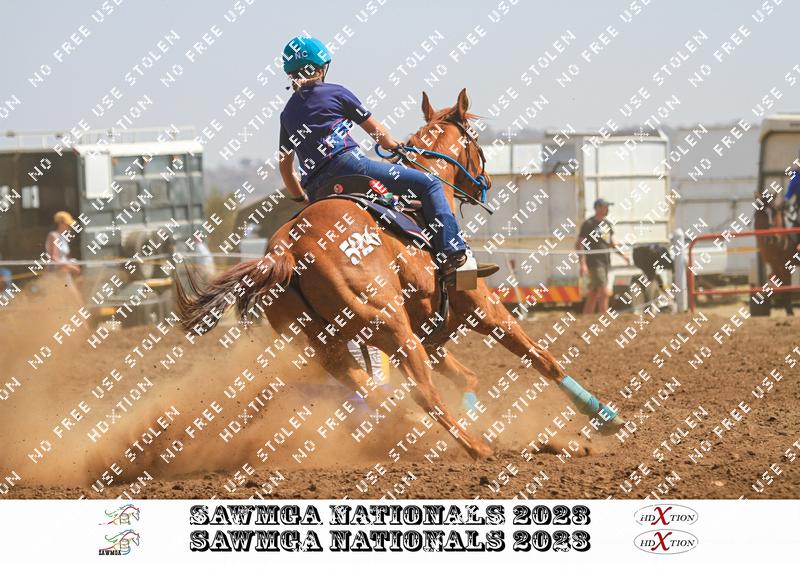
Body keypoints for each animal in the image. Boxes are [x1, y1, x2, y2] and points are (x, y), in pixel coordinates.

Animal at [176, 89, 623, 460]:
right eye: (476, 139)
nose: (485, 183)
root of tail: (288, 249)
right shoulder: (480, 306)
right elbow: (543, 359)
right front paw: (604, 416)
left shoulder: (433, 334)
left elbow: (470, 378)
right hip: (390, 327)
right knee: (421, 393)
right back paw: (477, 447)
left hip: (330, 348)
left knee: (375, 393)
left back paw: (416, 428)